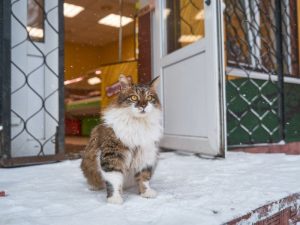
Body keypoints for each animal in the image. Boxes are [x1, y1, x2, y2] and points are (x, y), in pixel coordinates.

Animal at [79, 74, 163, 204]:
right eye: (134, 97)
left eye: (149, 98)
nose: (143, 106)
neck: (137, 124)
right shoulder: (113, 155)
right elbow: (114, 181)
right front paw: (115, 199)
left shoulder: (146, 154)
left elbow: (144, 177)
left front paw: (146, 193)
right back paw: (94, 186)